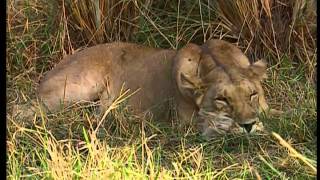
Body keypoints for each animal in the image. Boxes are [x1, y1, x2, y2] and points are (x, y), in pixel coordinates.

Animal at [37, 39, 280, 138]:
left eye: (252, 95)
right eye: (222, 100)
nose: (248, 125)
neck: (215, 60)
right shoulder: (182, 123)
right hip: (71, 91)